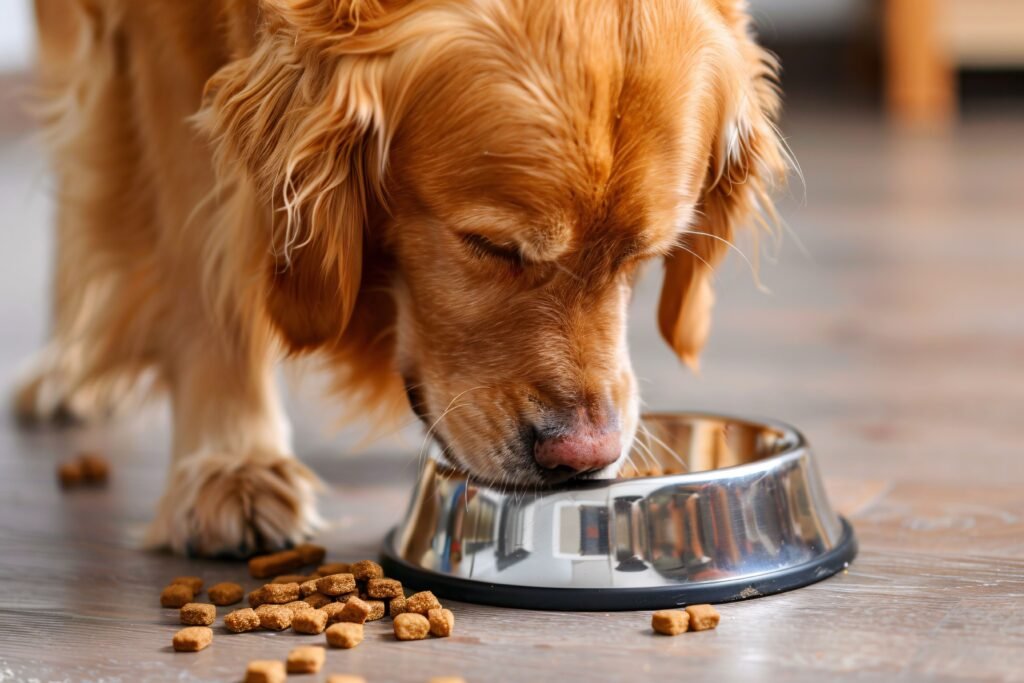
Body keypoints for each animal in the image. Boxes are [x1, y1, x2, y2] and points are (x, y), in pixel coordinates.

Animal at [14, 0, 782, 557]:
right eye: (491, 246)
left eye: (645, 255)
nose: (582, 456)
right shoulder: (163, 41)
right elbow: (206, 271)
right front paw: (230, 464)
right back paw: (72, 364)